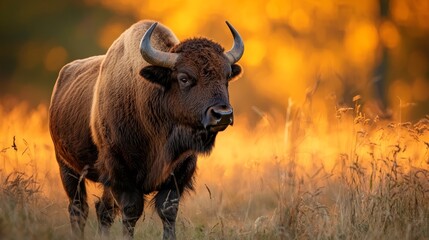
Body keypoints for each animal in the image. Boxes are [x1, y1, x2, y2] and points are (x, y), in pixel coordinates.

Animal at [48, 19, 242, 239]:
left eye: (226, 77)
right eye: (184, 78)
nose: (223, 114)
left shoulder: (179, 172)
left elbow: (168, 211)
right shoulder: (120, 173)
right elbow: (131, 211)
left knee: (102, 211)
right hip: (67, 168)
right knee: (79, 209)